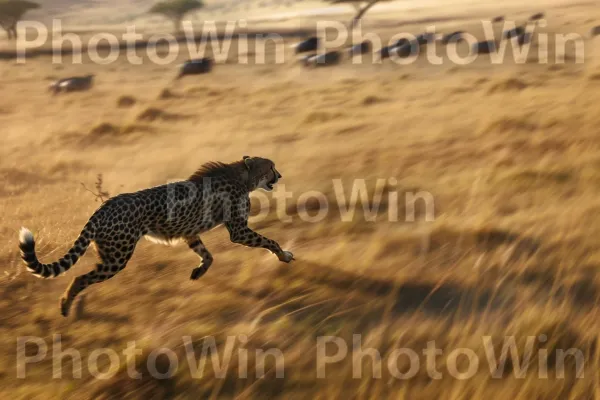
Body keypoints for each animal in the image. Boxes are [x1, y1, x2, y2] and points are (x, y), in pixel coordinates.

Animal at [20, 156, 296, 316]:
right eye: (271, 167)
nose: (280, 175)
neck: (242, 175)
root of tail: (105, 206)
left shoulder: (189, 232)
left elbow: (208, 255)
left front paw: (199, 271)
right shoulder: (239, 231)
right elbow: (269, 241)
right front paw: (283, 255)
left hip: (109, 253)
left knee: (84, 276)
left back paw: (73, 306)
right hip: (117, 258)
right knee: (80, 278)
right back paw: (66, 305)